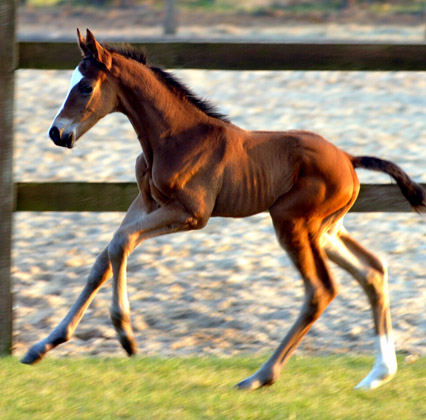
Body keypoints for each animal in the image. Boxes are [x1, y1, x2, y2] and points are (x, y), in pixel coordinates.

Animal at [21, 28, 424, 390]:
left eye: (86, 87)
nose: (57, 134)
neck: (174, 138)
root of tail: (348, 159)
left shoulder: (191, 213)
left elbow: (122, 243)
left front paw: (125, 334)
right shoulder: (147, 202)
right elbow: (104, 258)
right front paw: (43, 345)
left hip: (291, 221)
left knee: (320, 290)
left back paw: (260, 377)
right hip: (325, 229)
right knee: (372, 271)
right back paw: (377, 374)